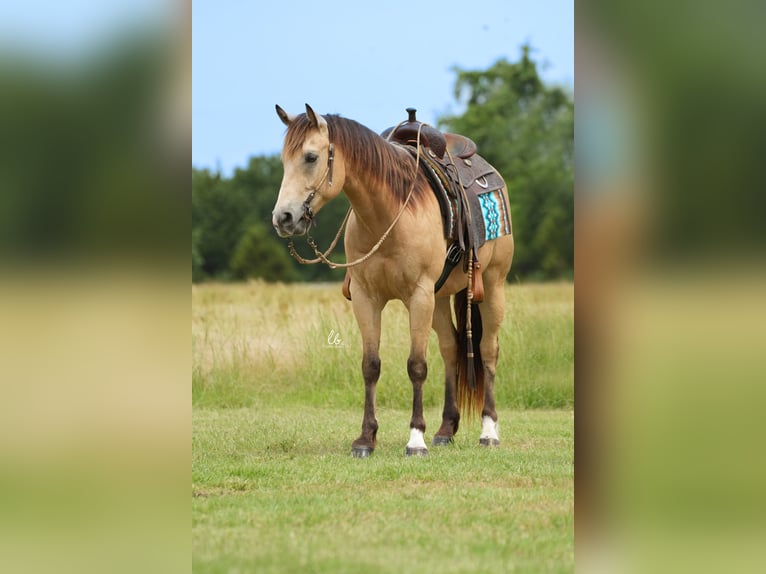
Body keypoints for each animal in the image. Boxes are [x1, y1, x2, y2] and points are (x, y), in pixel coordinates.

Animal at [272, 104, 516, 460]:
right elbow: (370, 365)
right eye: (283, 160)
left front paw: (415, 439)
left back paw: (489, 431)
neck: (388, 215)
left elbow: (417, 365)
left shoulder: (418, 295)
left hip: (492, 287)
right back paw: (446, 430)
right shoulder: (366, 298)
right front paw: (365, 438)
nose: (283, 218)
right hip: (440, 298)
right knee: (450, 348)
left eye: (311, 157)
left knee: (487, 351)